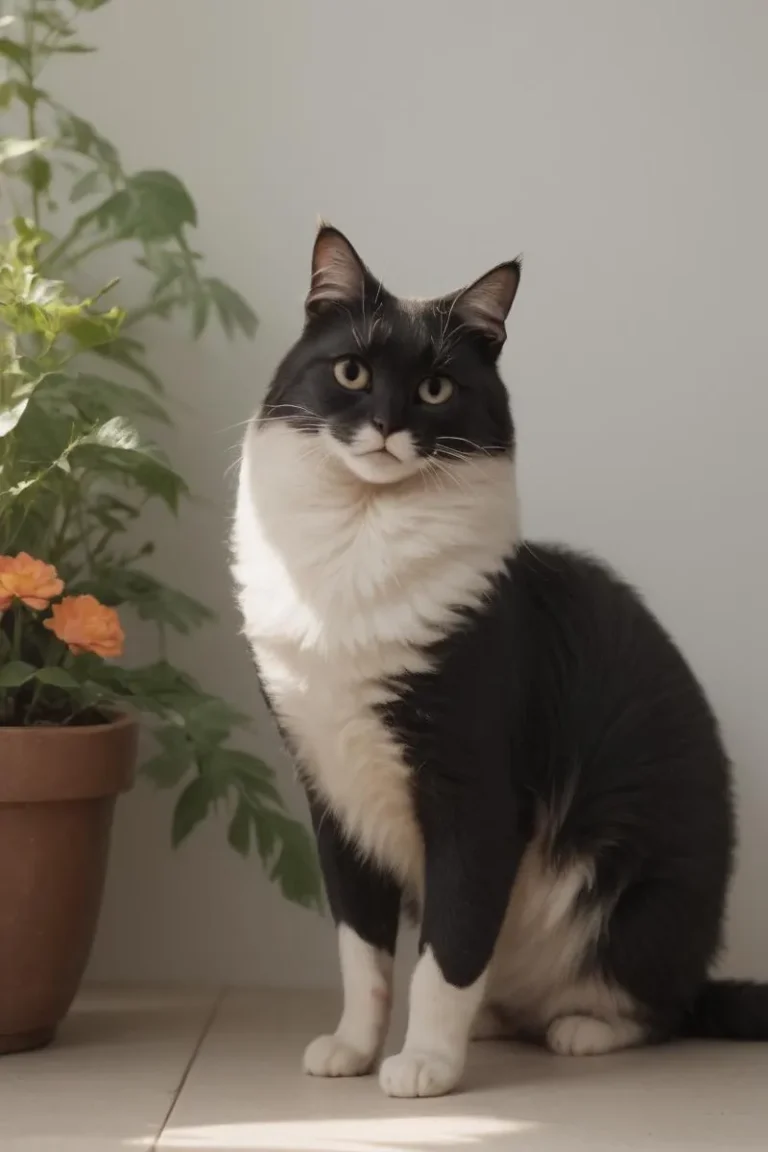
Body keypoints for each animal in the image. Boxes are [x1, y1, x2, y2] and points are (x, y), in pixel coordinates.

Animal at [232, 224, 768, 1096]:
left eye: (436, 388)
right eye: (351, 371)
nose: (386, 423)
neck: (363, 537)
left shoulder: (476, 790)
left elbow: (450, 943)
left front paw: (425, 1064)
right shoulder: (331, 790)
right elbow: (363, 948)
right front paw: (353, 1047)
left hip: (640, 900)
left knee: (659, 1006)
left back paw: (583, 1028)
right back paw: (496, 1020)